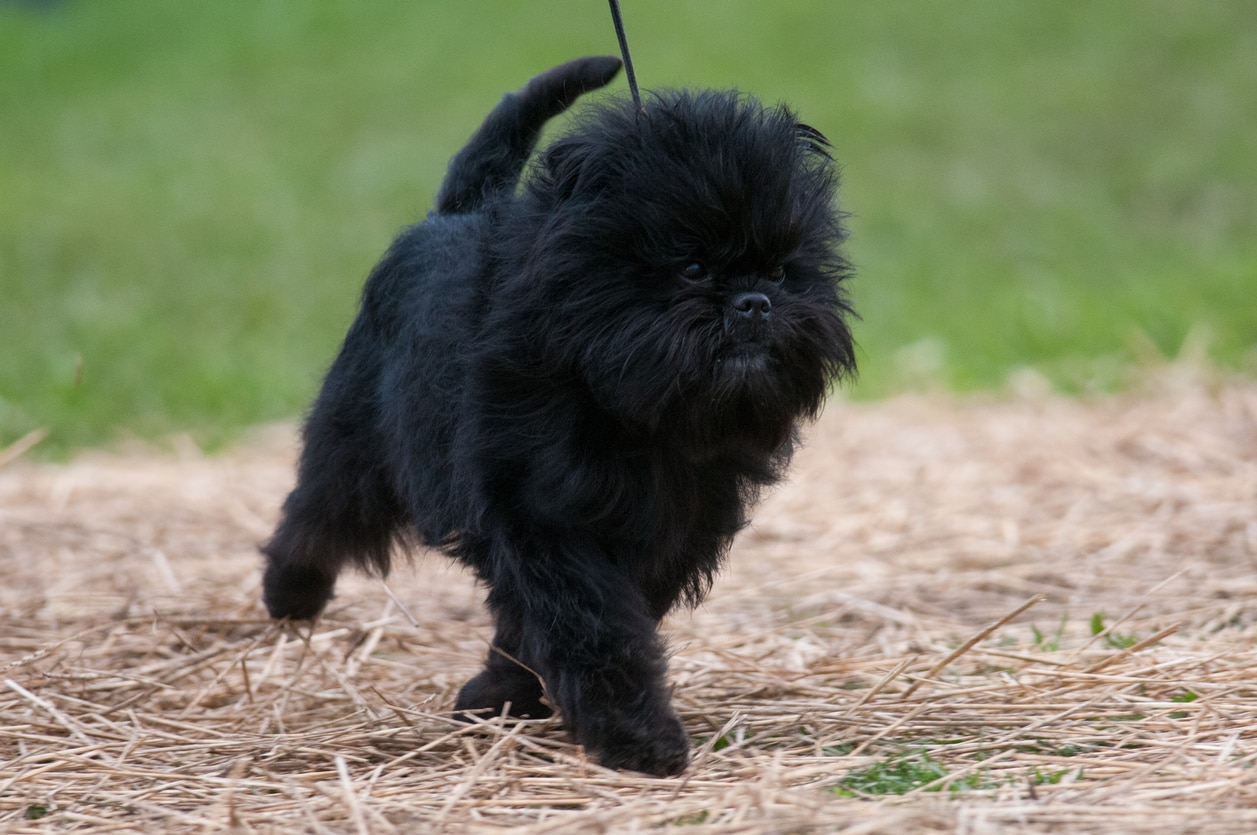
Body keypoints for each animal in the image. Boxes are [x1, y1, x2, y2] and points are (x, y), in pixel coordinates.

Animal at [261, 57, 859, 774]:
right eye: (690, 266)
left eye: (779, 271)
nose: (754, 301)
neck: (632, 409)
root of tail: (455, 211)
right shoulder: (542, 517)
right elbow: (591, 628)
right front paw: (637, 735)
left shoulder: (671, 531)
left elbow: (551, 626)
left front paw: (500, 695)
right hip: (357, 432)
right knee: (319, 507)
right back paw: (289, 593)